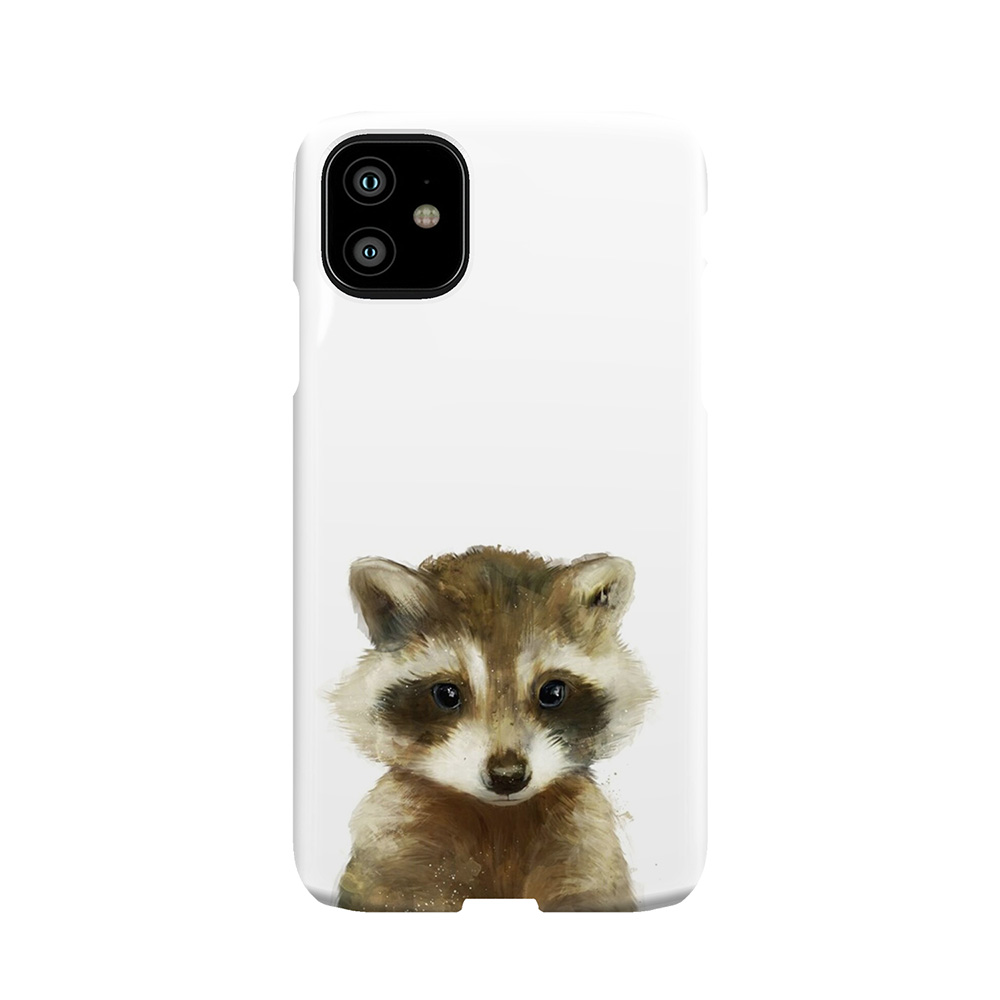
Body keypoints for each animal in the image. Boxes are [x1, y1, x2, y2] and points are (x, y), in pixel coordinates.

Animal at [330, 546, 655, 911]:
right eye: (447, 694)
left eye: (552, 693)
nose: (507, 776)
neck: (499, 818)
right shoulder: (394, 841)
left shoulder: (585, 841)